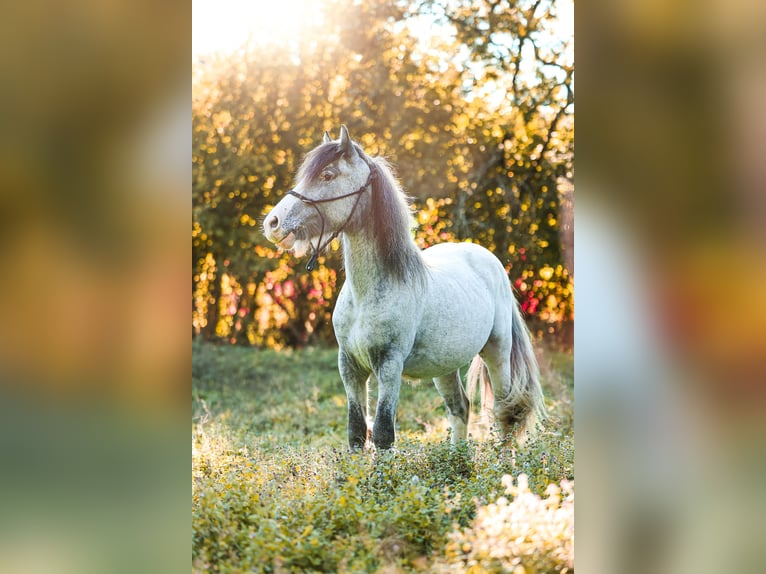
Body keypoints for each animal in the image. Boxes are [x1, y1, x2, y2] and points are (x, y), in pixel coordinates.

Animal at [264, 125, 544, 450]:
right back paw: (458, 459)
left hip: (497, 352)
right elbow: (356, 432)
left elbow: (383, 433)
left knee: (504, 412)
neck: (366, 295)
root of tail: (489, 261)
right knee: (460, 407)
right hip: (445, 364)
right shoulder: (350, 367)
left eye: (328, 175)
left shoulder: (389, 365)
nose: (273, 223)